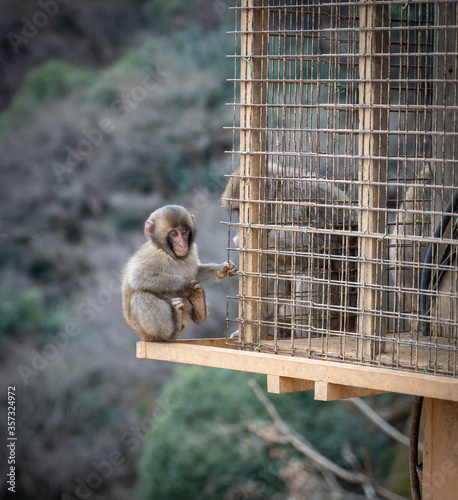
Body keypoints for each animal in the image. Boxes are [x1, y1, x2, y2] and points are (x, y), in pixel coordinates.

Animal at [121, 205, 236, 342]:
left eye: (185, 232)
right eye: (174, 234)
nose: (182, 244)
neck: (170, 253)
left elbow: (196, 273)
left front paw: (222, 269)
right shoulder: (153, 255)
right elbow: (138, 278)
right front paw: (184, 285)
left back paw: (199, 307)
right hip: (147, 333)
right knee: (141, 297)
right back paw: (172, 330)